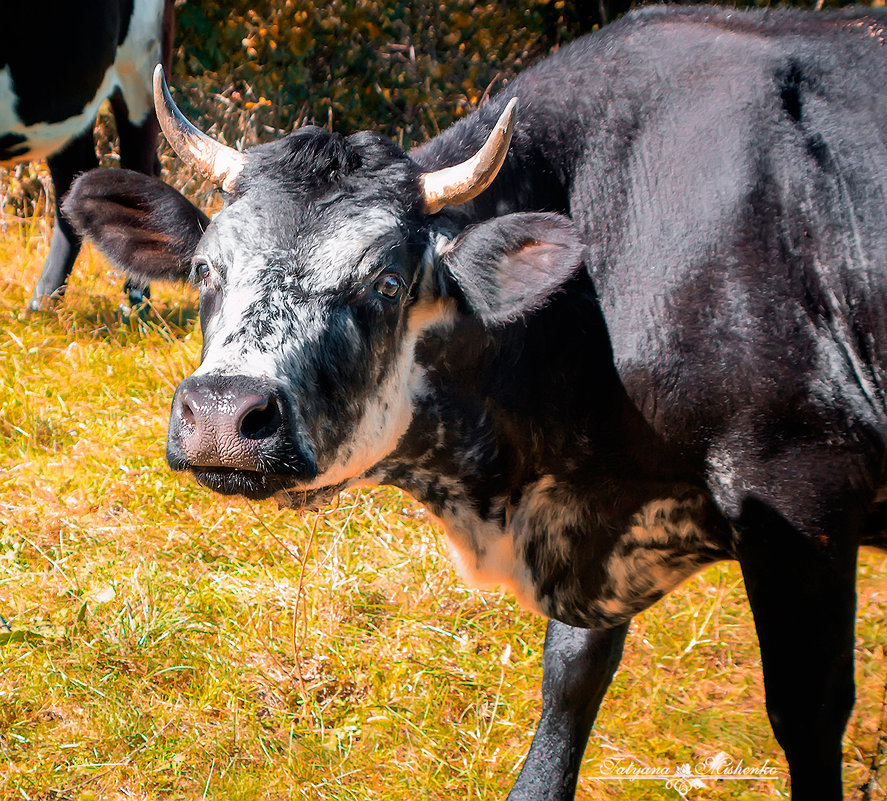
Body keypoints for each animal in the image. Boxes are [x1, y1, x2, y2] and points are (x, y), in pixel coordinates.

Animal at [66, 7, 887, 800]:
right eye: (206, 268)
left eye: (387, 283)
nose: (221, 415)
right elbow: (570, 681)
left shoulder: (797, 485)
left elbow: (808, 711)